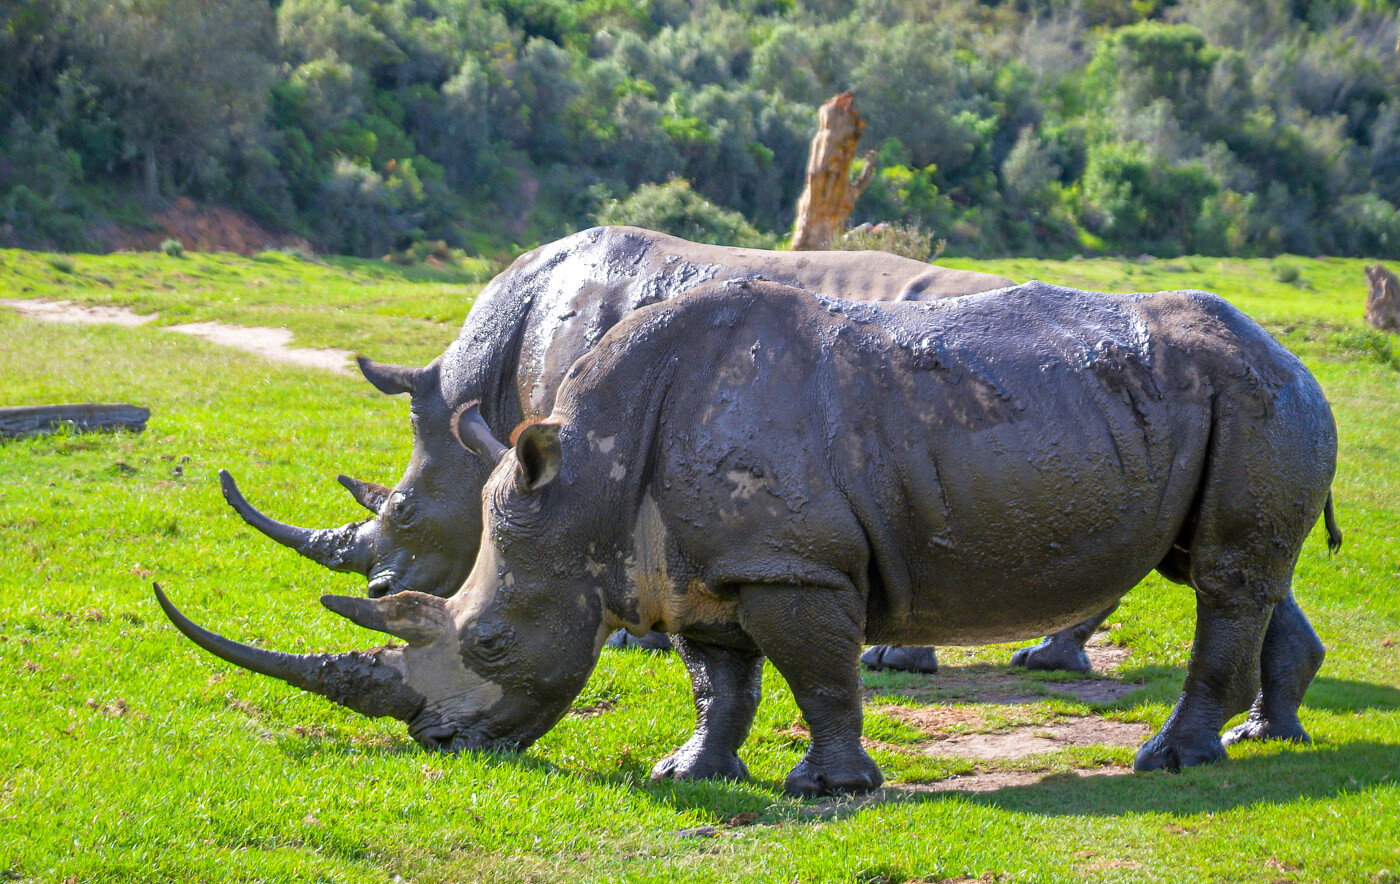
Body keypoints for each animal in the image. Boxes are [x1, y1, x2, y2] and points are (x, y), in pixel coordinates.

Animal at [160, 279, 1340, 796]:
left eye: (488, 642)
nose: (441, 746)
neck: (585, 481)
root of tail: (1291, 352)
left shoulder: (791, 563)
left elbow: (817, 674)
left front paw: (828, 789)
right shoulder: (691, 567)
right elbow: (717, 679)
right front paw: (690, 773)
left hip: (1258, 394)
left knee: (1226, 575)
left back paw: (1171, 759)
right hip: (1213, 400)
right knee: (1235, 569)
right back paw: (1260, 735)